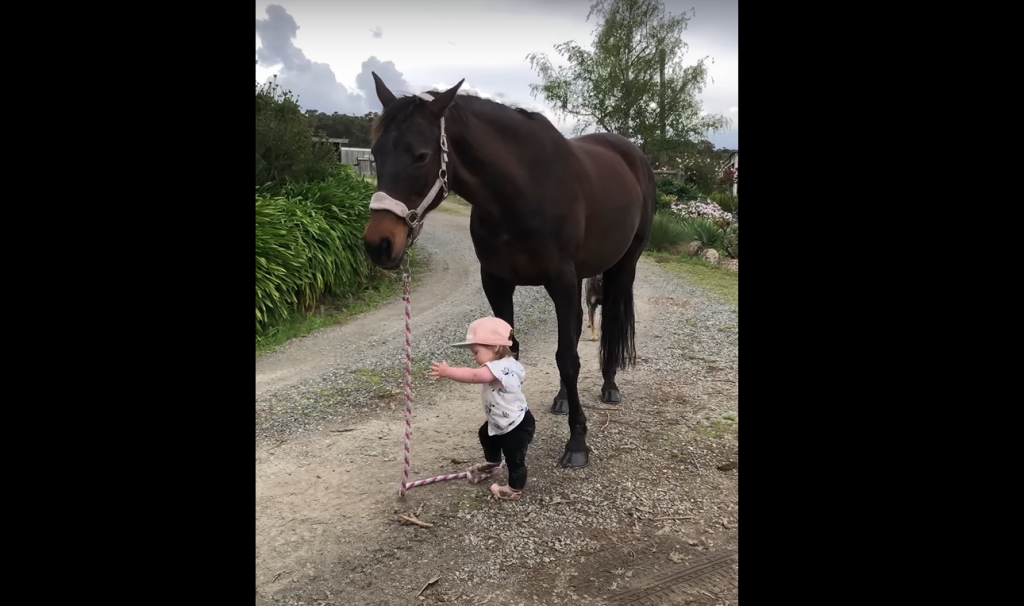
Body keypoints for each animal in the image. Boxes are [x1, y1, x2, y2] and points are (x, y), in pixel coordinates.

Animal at [364, 72, 655, 468]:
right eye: (375, 154)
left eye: (421, 155)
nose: (378, 244)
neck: (522, 191)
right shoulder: (497, 282)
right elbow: (512, 351)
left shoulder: (561, 281)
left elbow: (567, 358)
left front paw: (577, 441)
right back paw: (562, 399)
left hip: (623, 265)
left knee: (607, 321)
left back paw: (609, 384)